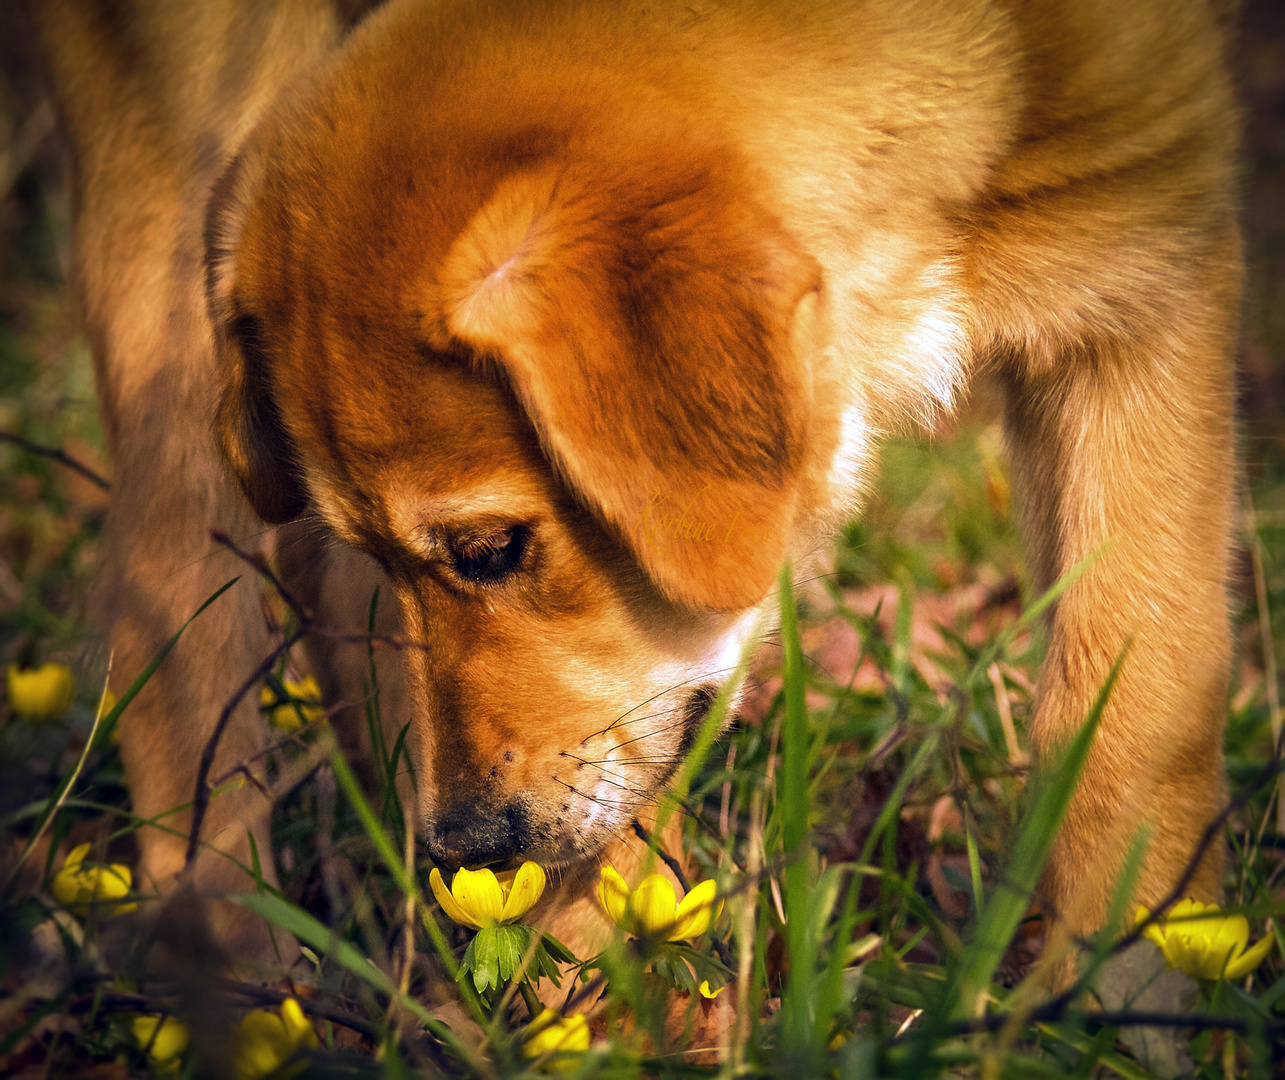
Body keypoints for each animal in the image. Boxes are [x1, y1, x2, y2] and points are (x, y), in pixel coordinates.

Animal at [35, 0, 1238, 977]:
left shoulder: (1146, 276)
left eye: (490, 550)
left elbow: (1138, 707)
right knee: (168, 596)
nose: (462, 848)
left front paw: (1121, 991)